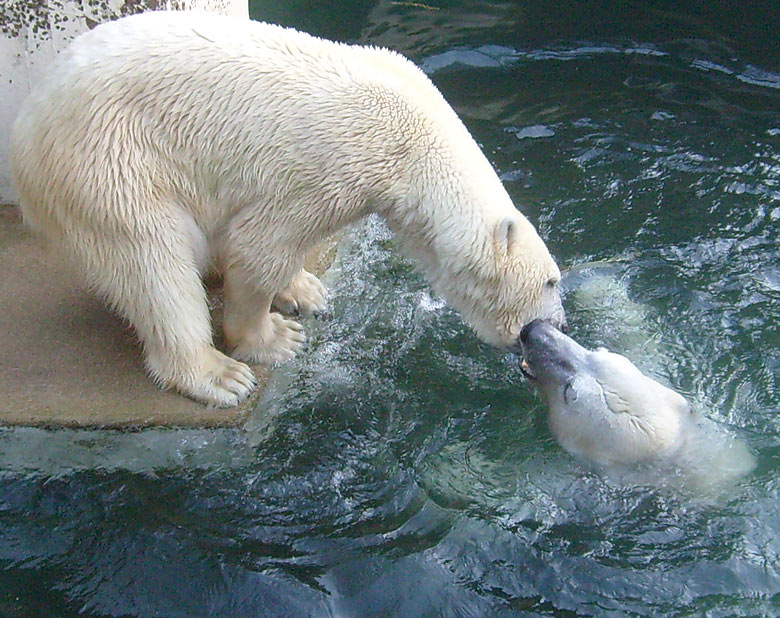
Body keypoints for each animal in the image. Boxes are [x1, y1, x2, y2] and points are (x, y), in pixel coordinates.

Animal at [9, 10, 564, 404]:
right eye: (550, 282)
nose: (554, 327)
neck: (417, 141)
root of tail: (26, 124)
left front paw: (303, 290)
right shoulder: (337, 163)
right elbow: (259, 246)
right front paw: (271, 338)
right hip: (108, 161)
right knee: (151, 261)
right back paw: (216, 374)